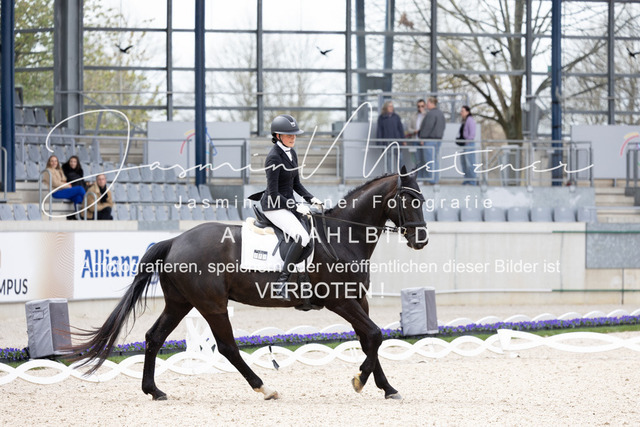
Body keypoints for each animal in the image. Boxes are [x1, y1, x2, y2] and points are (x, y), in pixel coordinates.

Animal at [68, 167, 429, 401]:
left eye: (422, 200)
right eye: (408, 200)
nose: (421, 240)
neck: (342, 236)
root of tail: (174, 241)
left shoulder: (358, 299)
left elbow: (371, 339)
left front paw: (386, 387)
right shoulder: (339, 301)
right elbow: (375, 335)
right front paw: (359, 379)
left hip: (180, 302)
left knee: (154, 337)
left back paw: (154, 391)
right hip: (212, 304)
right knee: (227, 346)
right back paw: (264, 387)